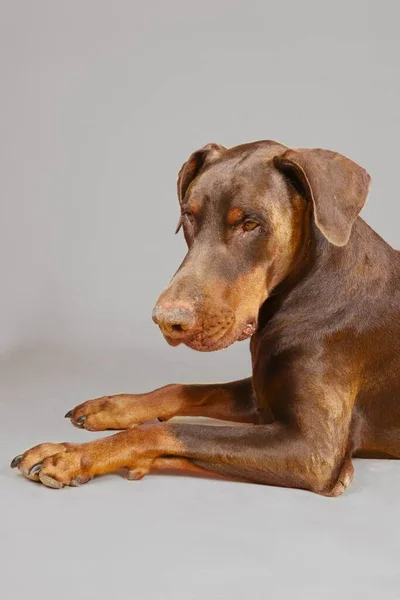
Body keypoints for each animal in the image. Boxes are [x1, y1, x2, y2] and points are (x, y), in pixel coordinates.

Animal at [11, 142, 400, 496]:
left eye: (250, 223)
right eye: (188, 215)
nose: (166, 319)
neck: (306, 285)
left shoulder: (312, 451)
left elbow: (169, 431)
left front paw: (69, 456)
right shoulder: (260, 395)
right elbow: (179, 390)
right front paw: (111, 408)